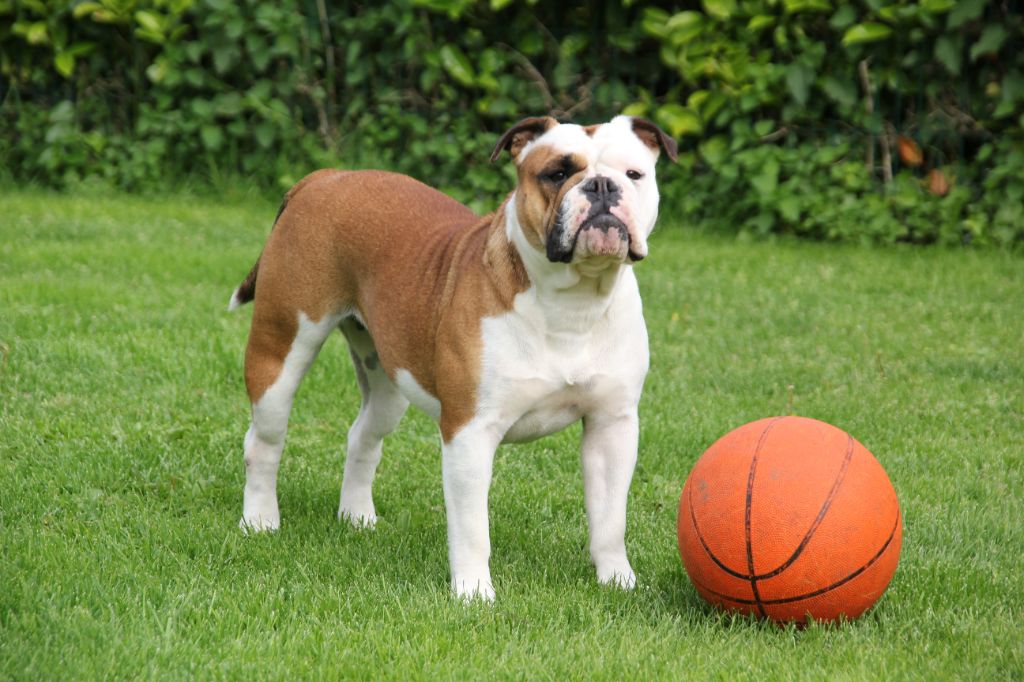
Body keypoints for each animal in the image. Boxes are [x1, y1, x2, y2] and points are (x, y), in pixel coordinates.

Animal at [228, 114, 675, 598]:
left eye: (634, 174)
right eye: (556, 173)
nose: (602, 186)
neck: (573, 303)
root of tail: (325, 178)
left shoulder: (612, 426)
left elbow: (610, 518)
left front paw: (618, 581)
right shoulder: (469, 432)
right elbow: (472, 526)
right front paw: (474, 593)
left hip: (388, 383)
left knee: (363, 435)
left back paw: (357, 518)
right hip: (281, 348)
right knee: (264, 441)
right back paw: (260, 520)